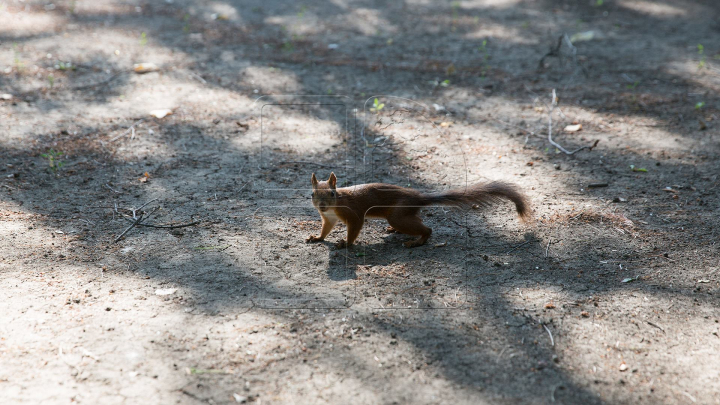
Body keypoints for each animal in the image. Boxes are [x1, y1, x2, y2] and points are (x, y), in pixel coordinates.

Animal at [304, 170, 528, 246]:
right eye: (312, 194)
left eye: (332, 194)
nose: (322, 206)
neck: (332, 209)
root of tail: (419, 197)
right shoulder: (329, 218)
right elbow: (325, 229)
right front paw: (317, 238)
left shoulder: (353, 214)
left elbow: (354, 229)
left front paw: (345, 244)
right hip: (402, 215)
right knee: (417, 220)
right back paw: (397, 232)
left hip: (398, 215)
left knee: (427, 229)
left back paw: (417, 242)